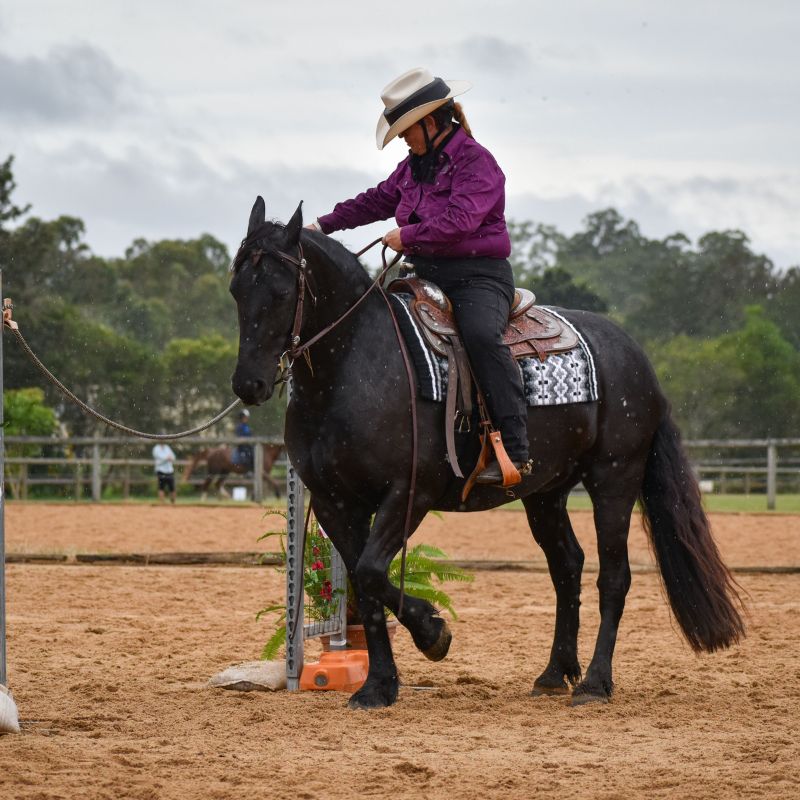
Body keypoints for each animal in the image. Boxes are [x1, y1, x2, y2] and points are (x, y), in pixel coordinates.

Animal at [230, 197, 744, 708]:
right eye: (236, 290)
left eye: (281, 293)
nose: (248, 385)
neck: (357, 364)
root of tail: (636, 356)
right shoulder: (336, 504)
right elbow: (363, 581)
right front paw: (379, 685)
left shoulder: (409, 493)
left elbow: (374, 571)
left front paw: (432, 634)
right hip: (546, 493)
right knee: (567, 567)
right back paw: (555, 673)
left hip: (614, 479)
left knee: (613, 576)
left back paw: (595, 683)